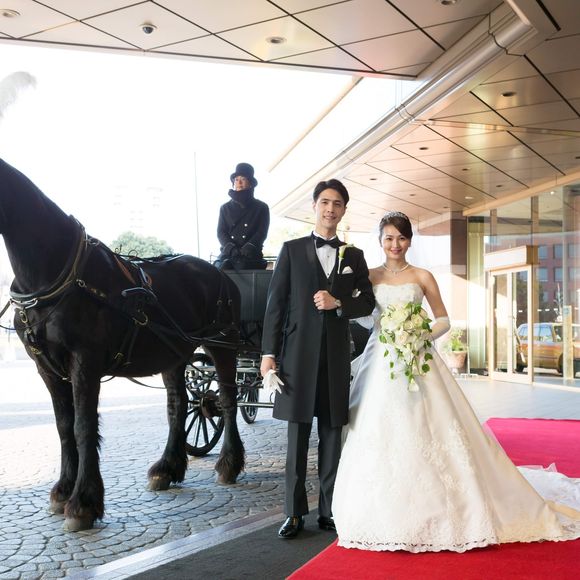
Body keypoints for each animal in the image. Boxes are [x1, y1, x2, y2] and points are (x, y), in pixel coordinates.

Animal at [0, 158, 245, 531]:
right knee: (178, 406)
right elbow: (63, 426)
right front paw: (64, 489)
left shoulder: (84, 362)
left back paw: (229, 463)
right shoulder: (47, 369)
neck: (55, 273)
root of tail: (219, 273)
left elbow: (83, 426)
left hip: (222, 345)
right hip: (175, 355)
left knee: (228, 400)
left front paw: (83, 502)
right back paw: (167, 467)